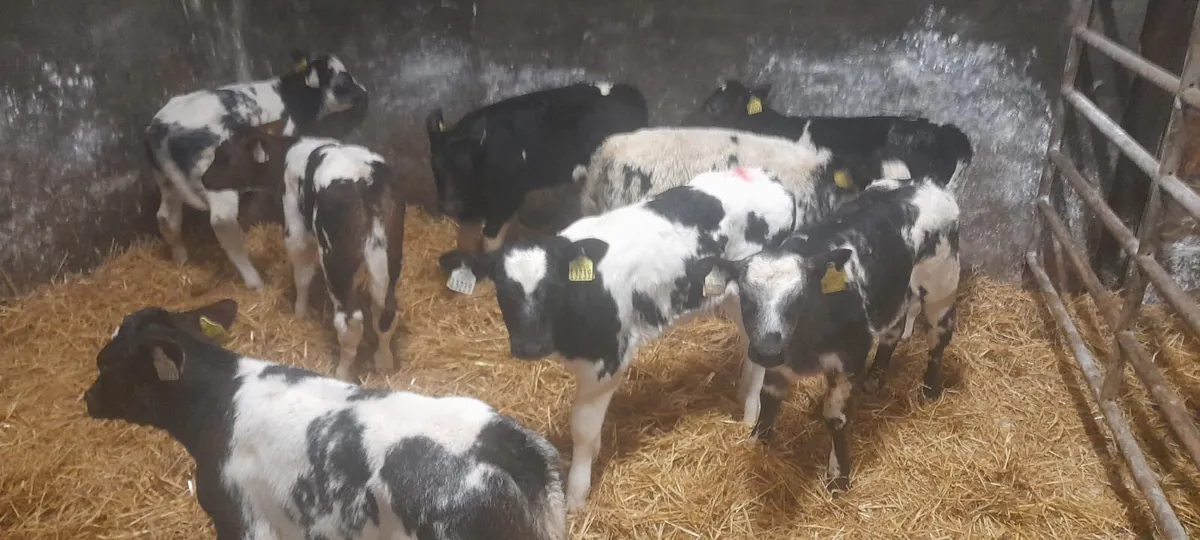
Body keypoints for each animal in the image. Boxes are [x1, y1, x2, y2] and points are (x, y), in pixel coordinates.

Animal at [146, 51, 368, 290]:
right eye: (344, 81)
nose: (364, 91)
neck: (292, 99)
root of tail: (158, 128)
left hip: (166, 182)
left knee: (166, 218)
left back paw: (181, 259)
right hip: (214, 181)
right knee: (223, 225)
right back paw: (255, 282)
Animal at [202, 126, 403, 381]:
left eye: (226, 156)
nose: (204, 179)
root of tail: (366, 179)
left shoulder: (296, 231)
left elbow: (303, 276)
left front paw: (299, 312)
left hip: (335, 261)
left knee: (350, 322)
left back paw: (342, 372)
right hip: (390, 255)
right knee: (386, 311)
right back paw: (384, 362)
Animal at [426, 82, 648, 254]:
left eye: (465, 167)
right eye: (434, 165)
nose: (448, 206)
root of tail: (630, 91)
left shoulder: (507, 195)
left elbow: (491, 237)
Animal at [442, 167, 798, 511]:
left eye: (554, 286)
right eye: (502, 290)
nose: (530, 347)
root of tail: (773, 180)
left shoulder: (608, 361)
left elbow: (583, 427)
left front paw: (576, 495)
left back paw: (750, 412)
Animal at [706, 177, 961, 493]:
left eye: (799, 298)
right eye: (746, 298)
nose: (766, 350)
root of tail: (925, 183)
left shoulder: (850, 357)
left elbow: (836, 418)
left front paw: (839, 477)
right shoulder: (779, 363)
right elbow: (769, 398)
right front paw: (757, 441)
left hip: (942, 282)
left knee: (940, 333)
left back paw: (930, 388)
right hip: (892, 291)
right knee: (893, 330)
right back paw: (875, 379)